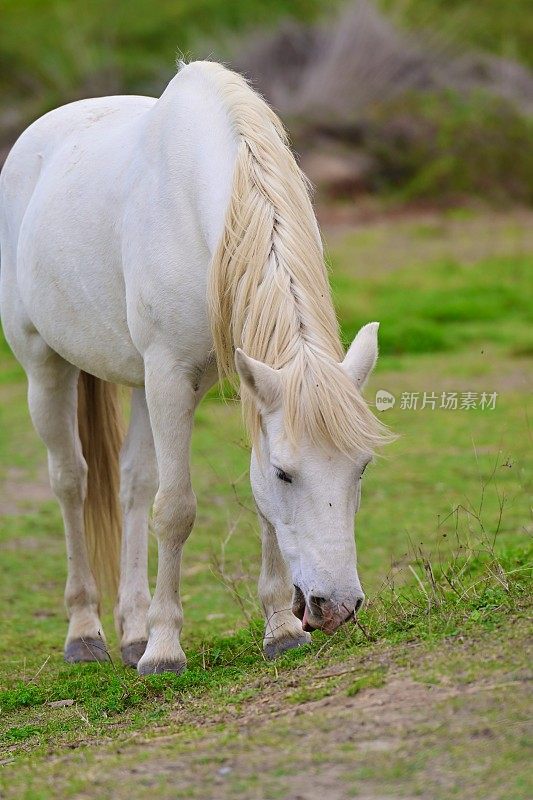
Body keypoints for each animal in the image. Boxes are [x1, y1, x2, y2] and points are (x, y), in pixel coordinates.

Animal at [0, 64, 390, 676]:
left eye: (362, 467)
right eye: (285, 473)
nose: (337, 607)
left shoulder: (225, 382)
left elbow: (244, 506)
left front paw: (280, 629)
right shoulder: (170, 375)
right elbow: (177, 509)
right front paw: (164, 651)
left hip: (139, 383)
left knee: (133, 485)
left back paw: (132, 631)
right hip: (46, 367)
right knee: (71, 482)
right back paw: (85, 633)